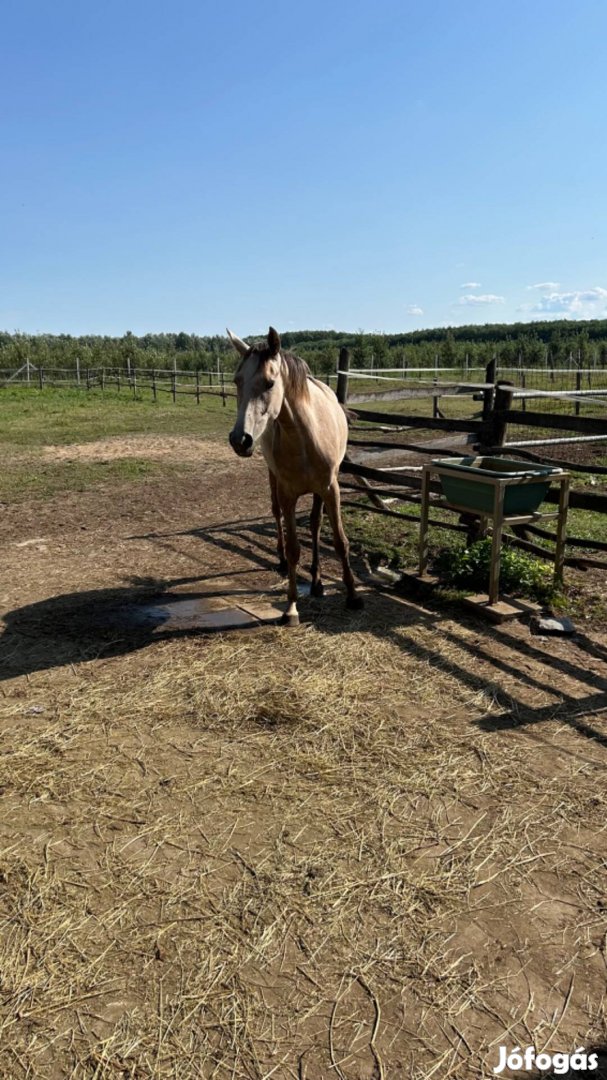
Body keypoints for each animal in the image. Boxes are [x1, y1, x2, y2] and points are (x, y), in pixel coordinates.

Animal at [225, 321, 358, 626]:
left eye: (270, 383)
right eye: (237, 381)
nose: (240, 440)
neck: (304, 438)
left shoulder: (331, 488)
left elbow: (340, 541)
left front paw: (352, 596)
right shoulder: (288, 494)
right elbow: (294, 548)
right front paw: (291, 607)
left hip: (320, 491)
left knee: (315, 524)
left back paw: (318, 582)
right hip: (273, 478)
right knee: (276, 516)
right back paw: (283, 562)